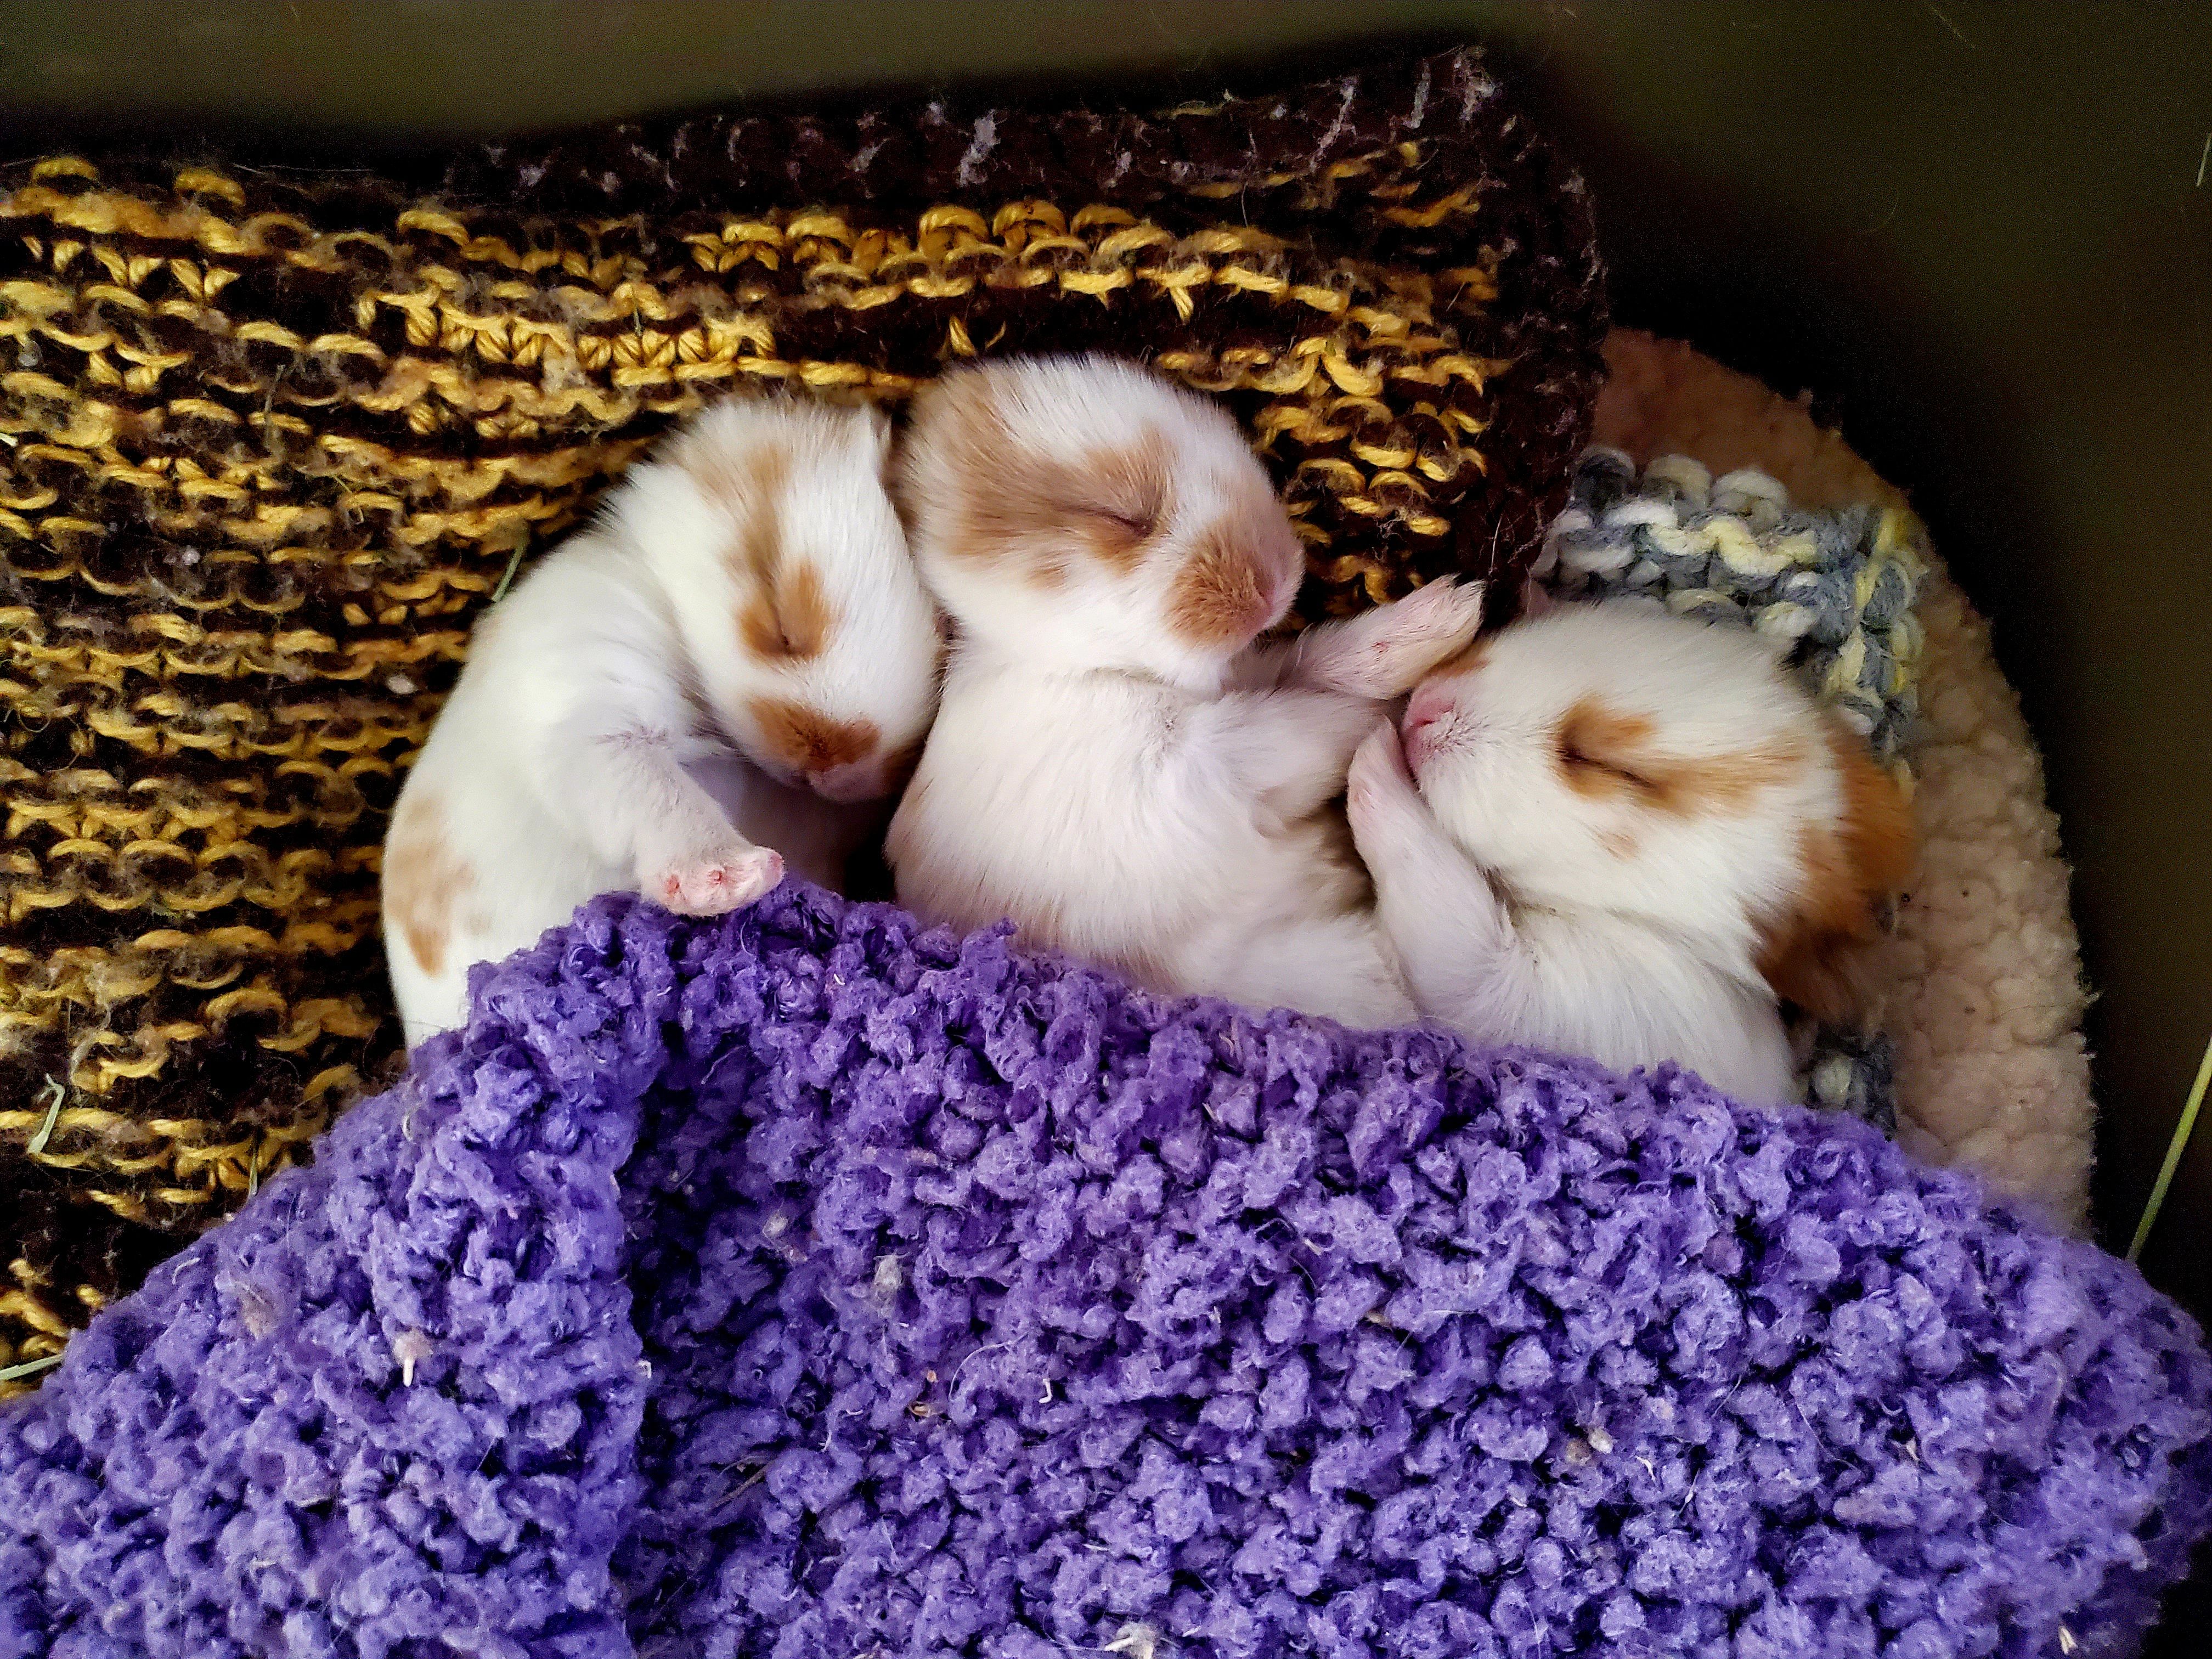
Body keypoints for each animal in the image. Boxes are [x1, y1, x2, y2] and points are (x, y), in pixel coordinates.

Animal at [885, 353, 1485, 1027]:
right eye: (1119, 514)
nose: (1276, 579)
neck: (1092, 669)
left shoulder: (1242, 687)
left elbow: (1309, 668)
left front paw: (1440, 622)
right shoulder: (1189, 768)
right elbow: (1303, 728)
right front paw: (1386, 722)